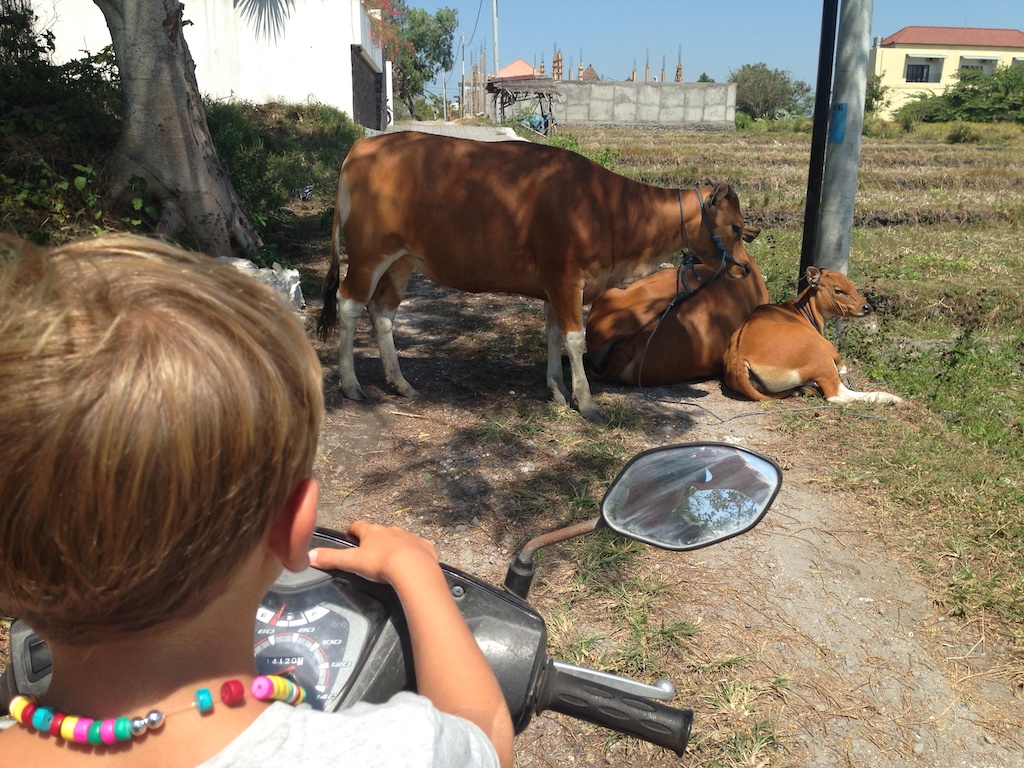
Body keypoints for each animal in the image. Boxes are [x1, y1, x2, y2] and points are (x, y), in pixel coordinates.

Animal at [720, 268, 905, 405]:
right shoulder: (827, 345)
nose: (867, 307)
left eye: (852, 286)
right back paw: (889, 397)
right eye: (839, 290)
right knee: (836, 395)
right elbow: (841, 365)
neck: (797, 310)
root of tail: (739, 360)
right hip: (820, 356)